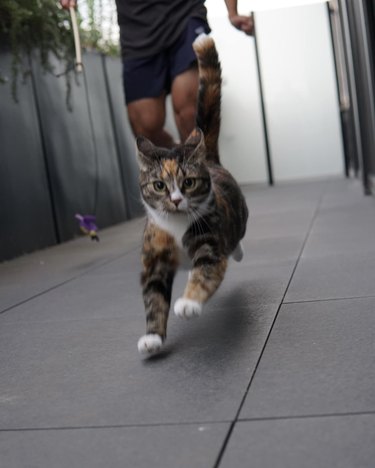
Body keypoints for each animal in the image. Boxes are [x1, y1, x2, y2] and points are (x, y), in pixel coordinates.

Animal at [136, 34, 250, 356]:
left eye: (187, 183)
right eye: (159, 186)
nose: (176, 200)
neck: (175, 227)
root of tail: (209, 158)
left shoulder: (209, 243)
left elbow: (206, 271)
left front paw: (188, 303)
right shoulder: (155, 255)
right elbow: (154, 299)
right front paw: (153, 337)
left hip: (237, 219)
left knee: (235, 238)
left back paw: (235, 250)